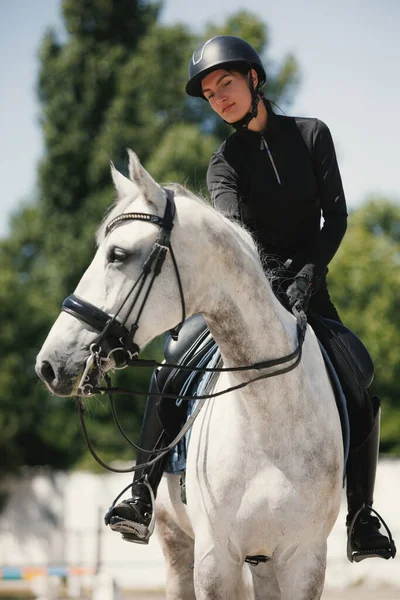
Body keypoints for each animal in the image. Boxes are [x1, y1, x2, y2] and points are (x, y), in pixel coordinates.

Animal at [37, 150, 342, 600]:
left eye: (117, 254)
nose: (49, 364)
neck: (269, 411)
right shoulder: (216, 560)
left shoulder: (304, 560)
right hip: (176, 543)